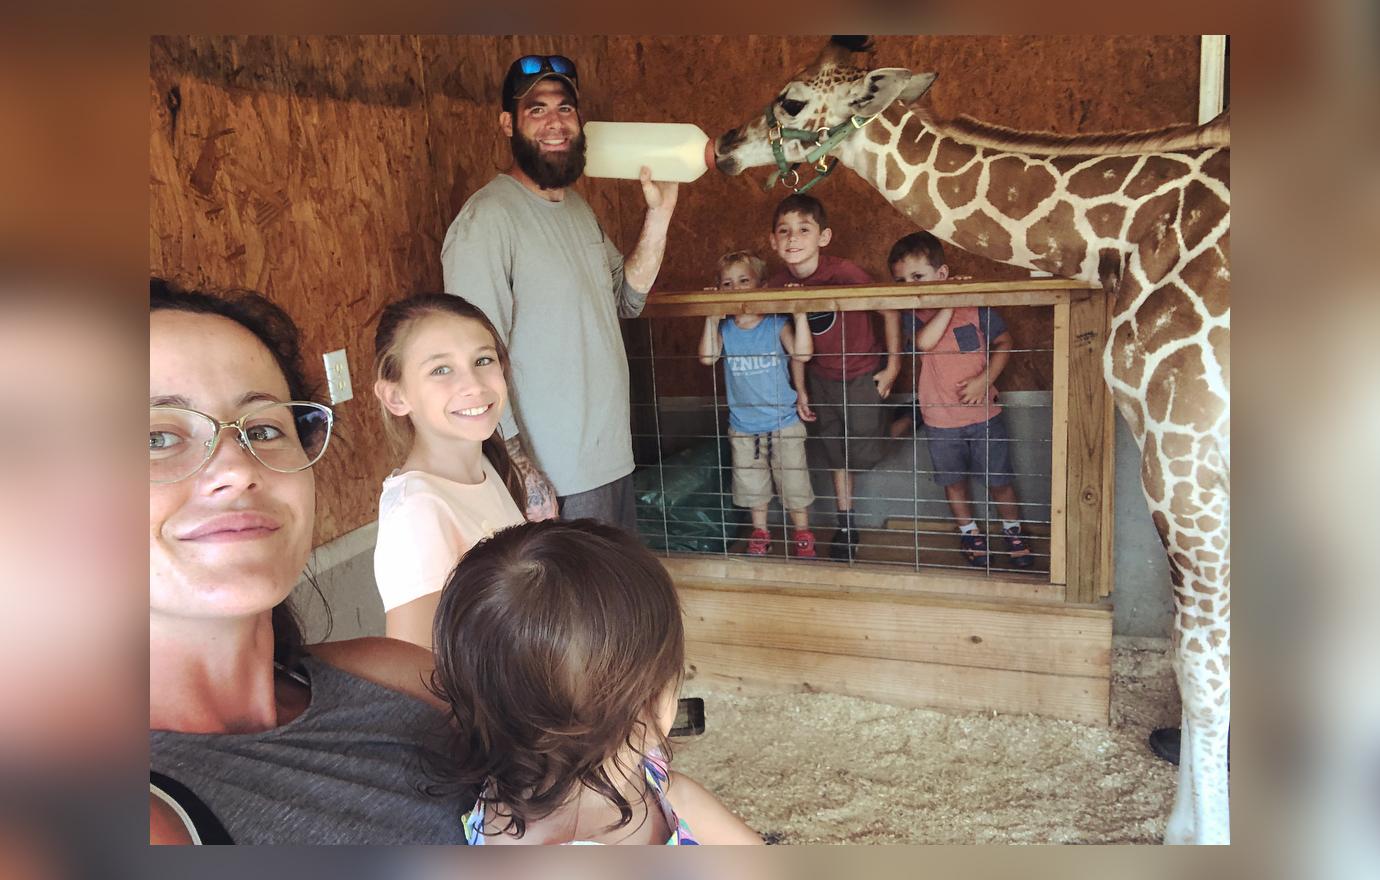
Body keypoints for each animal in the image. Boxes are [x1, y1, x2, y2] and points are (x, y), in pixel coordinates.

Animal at [712, 36, 1230, 849]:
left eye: (791, 100)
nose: (725, 146)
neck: (1129, 233)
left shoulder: (1189, 439)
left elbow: (1204, 670)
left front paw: (1194, 837)